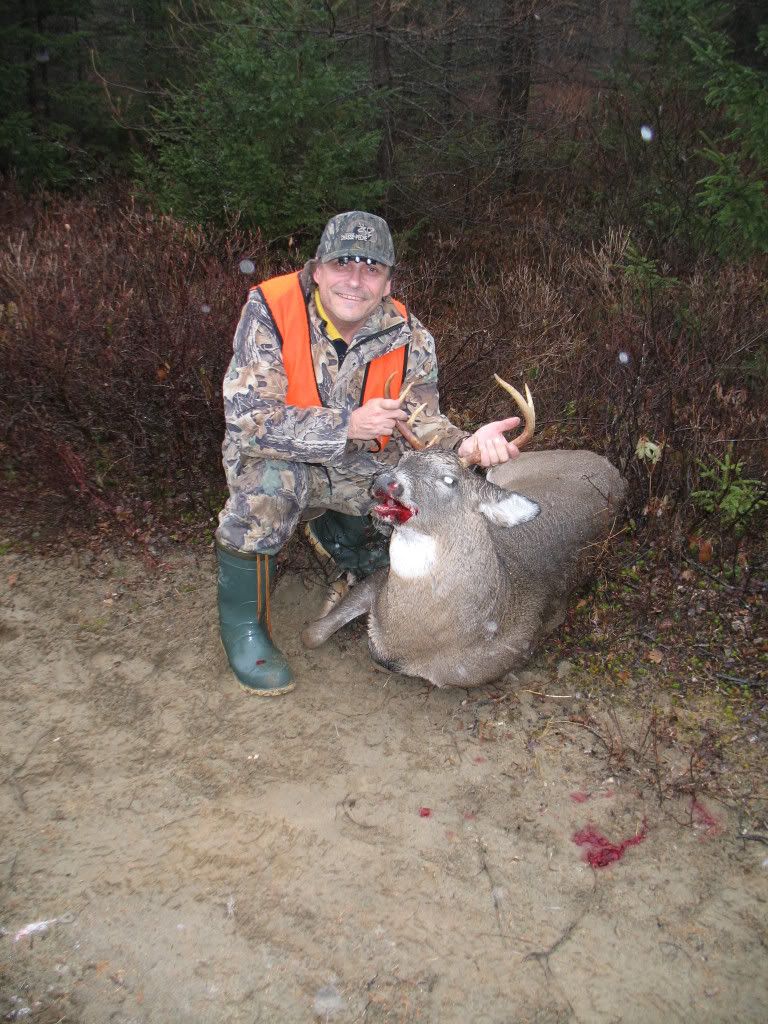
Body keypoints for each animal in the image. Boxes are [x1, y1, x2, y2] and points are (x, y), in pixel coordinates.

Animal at [301, 376, 626, 688]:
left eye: (449, 480)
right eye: (403, 460)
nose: (384, 481)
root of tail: (612, 469)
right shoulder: (379, 581)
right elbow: (312, 634)